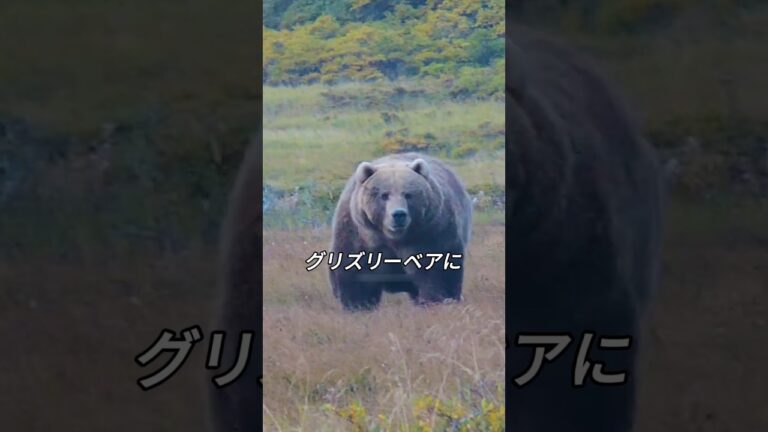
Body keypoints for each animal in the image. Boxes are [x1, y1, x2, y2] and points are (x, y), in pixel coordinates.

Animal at [328, 153, 473, 311]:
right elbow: (357, 272)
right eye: (384, 195)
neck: (392, 237)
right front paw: (358, 305)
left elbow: (436, 268)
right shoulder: (359, 234)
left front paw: (437, 299)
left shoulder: (430, 233)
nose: (398, 214)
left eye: (408, 194)